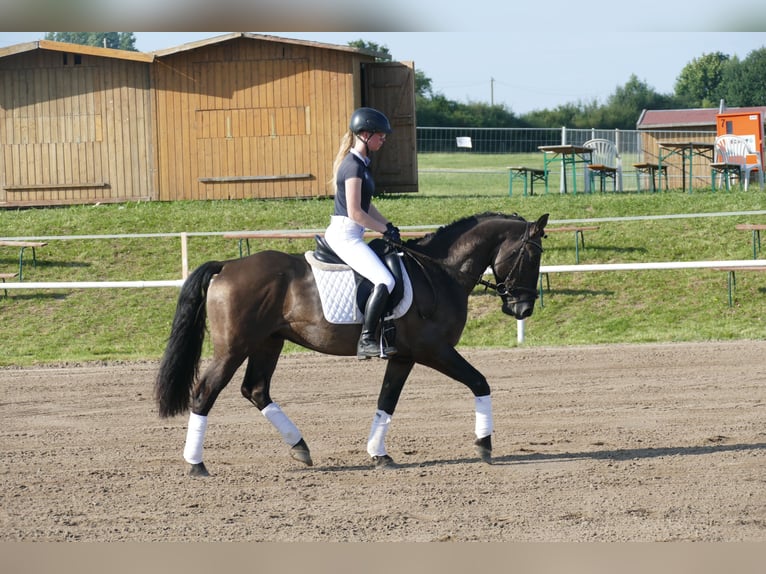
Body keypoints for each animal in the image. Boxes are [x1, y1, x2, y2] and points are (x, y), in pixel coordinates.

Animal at [155, 211, 549, 476]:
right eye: (532, 255)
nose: (524, 308)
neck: (439, 271)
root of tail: (227, 266)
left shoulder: (404, 357)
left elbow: (386, 402)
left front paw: (379, 455)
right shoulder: (434, 350)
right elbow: (479, 382)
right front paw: (484, 445)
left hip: (268, 343)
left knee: (255, 390)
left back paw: (300, 448)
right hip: (233, 348)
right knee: (205, 392)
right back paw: (196, 464)